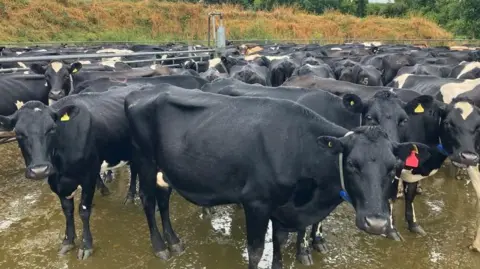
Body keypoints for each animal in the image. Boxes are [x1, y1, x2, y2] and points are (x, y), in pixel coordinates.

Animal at [124, 86, 432, 268]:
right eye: (352, 164)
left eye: (392, 167)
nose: (377, 223)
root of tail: (144, 90)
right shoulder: (257, 204)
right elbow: (257, 250)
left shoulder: (284, 209)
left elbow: (280, 243)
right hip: (144, 160)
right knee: (148, 200)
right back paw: (160, 246)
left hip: (165, 169)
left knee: (163, 198)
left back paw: (174, 241)